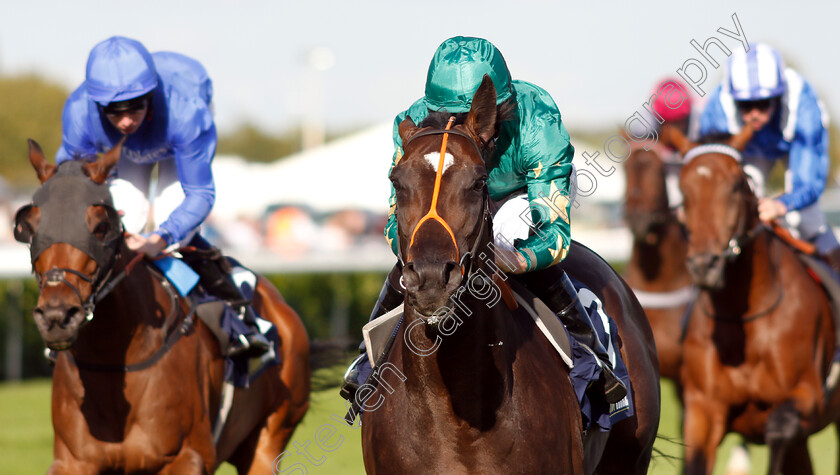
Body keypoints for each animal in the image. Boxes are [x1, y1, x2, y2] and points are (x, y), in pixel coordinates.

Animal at [14, 139, 312, 474]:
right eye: (28, 227)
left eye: (101, 226)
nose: (57, 316)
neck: (115, 363)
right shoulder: (72, 461)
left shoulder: (187, 457)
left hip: (268, 441)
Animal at [664, 127, 840, 475]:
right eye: (684, 189)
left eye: (735, 184)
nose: (704, 265)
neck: (742, 320)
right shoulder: (702, 408)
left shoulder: (808, 395)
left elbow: (779, 428)